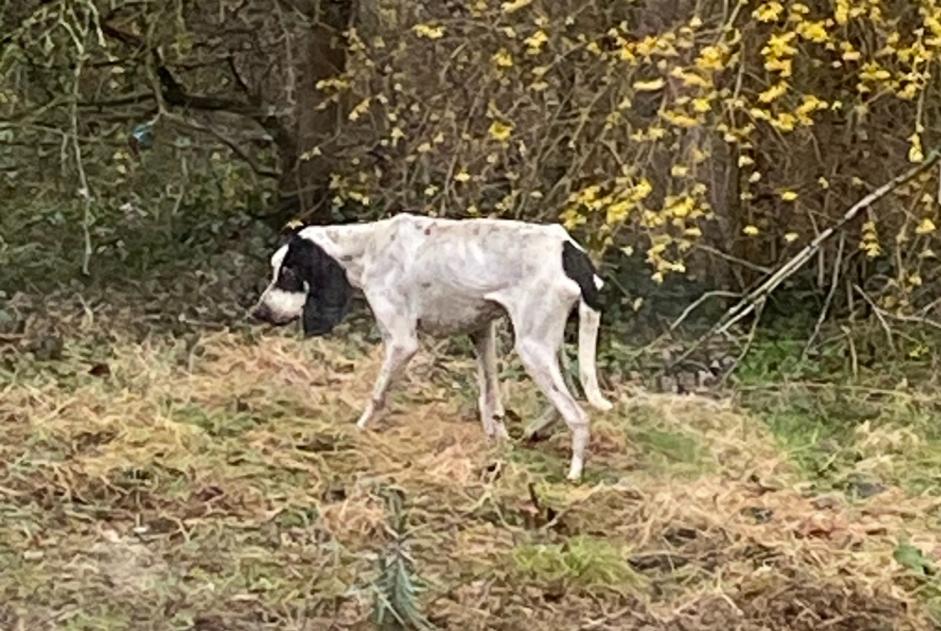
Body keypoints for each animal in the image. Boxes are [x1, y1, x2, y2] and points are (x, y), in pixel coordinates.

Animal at [250, 215, 612, 482]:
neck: (368, 248)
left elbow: (377, 396)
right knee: (570, 396)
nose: (258, 312)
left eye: (288, 273)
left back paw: (574, 473)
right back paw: (536, 431)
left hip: (532, 349)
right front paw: (497, 441)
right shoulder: (481, 332)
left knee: (578, 416)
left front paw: (358, 431)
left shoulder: (401, 343)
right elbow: (490, 398)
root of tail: (572, 253)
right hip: (547, 348)